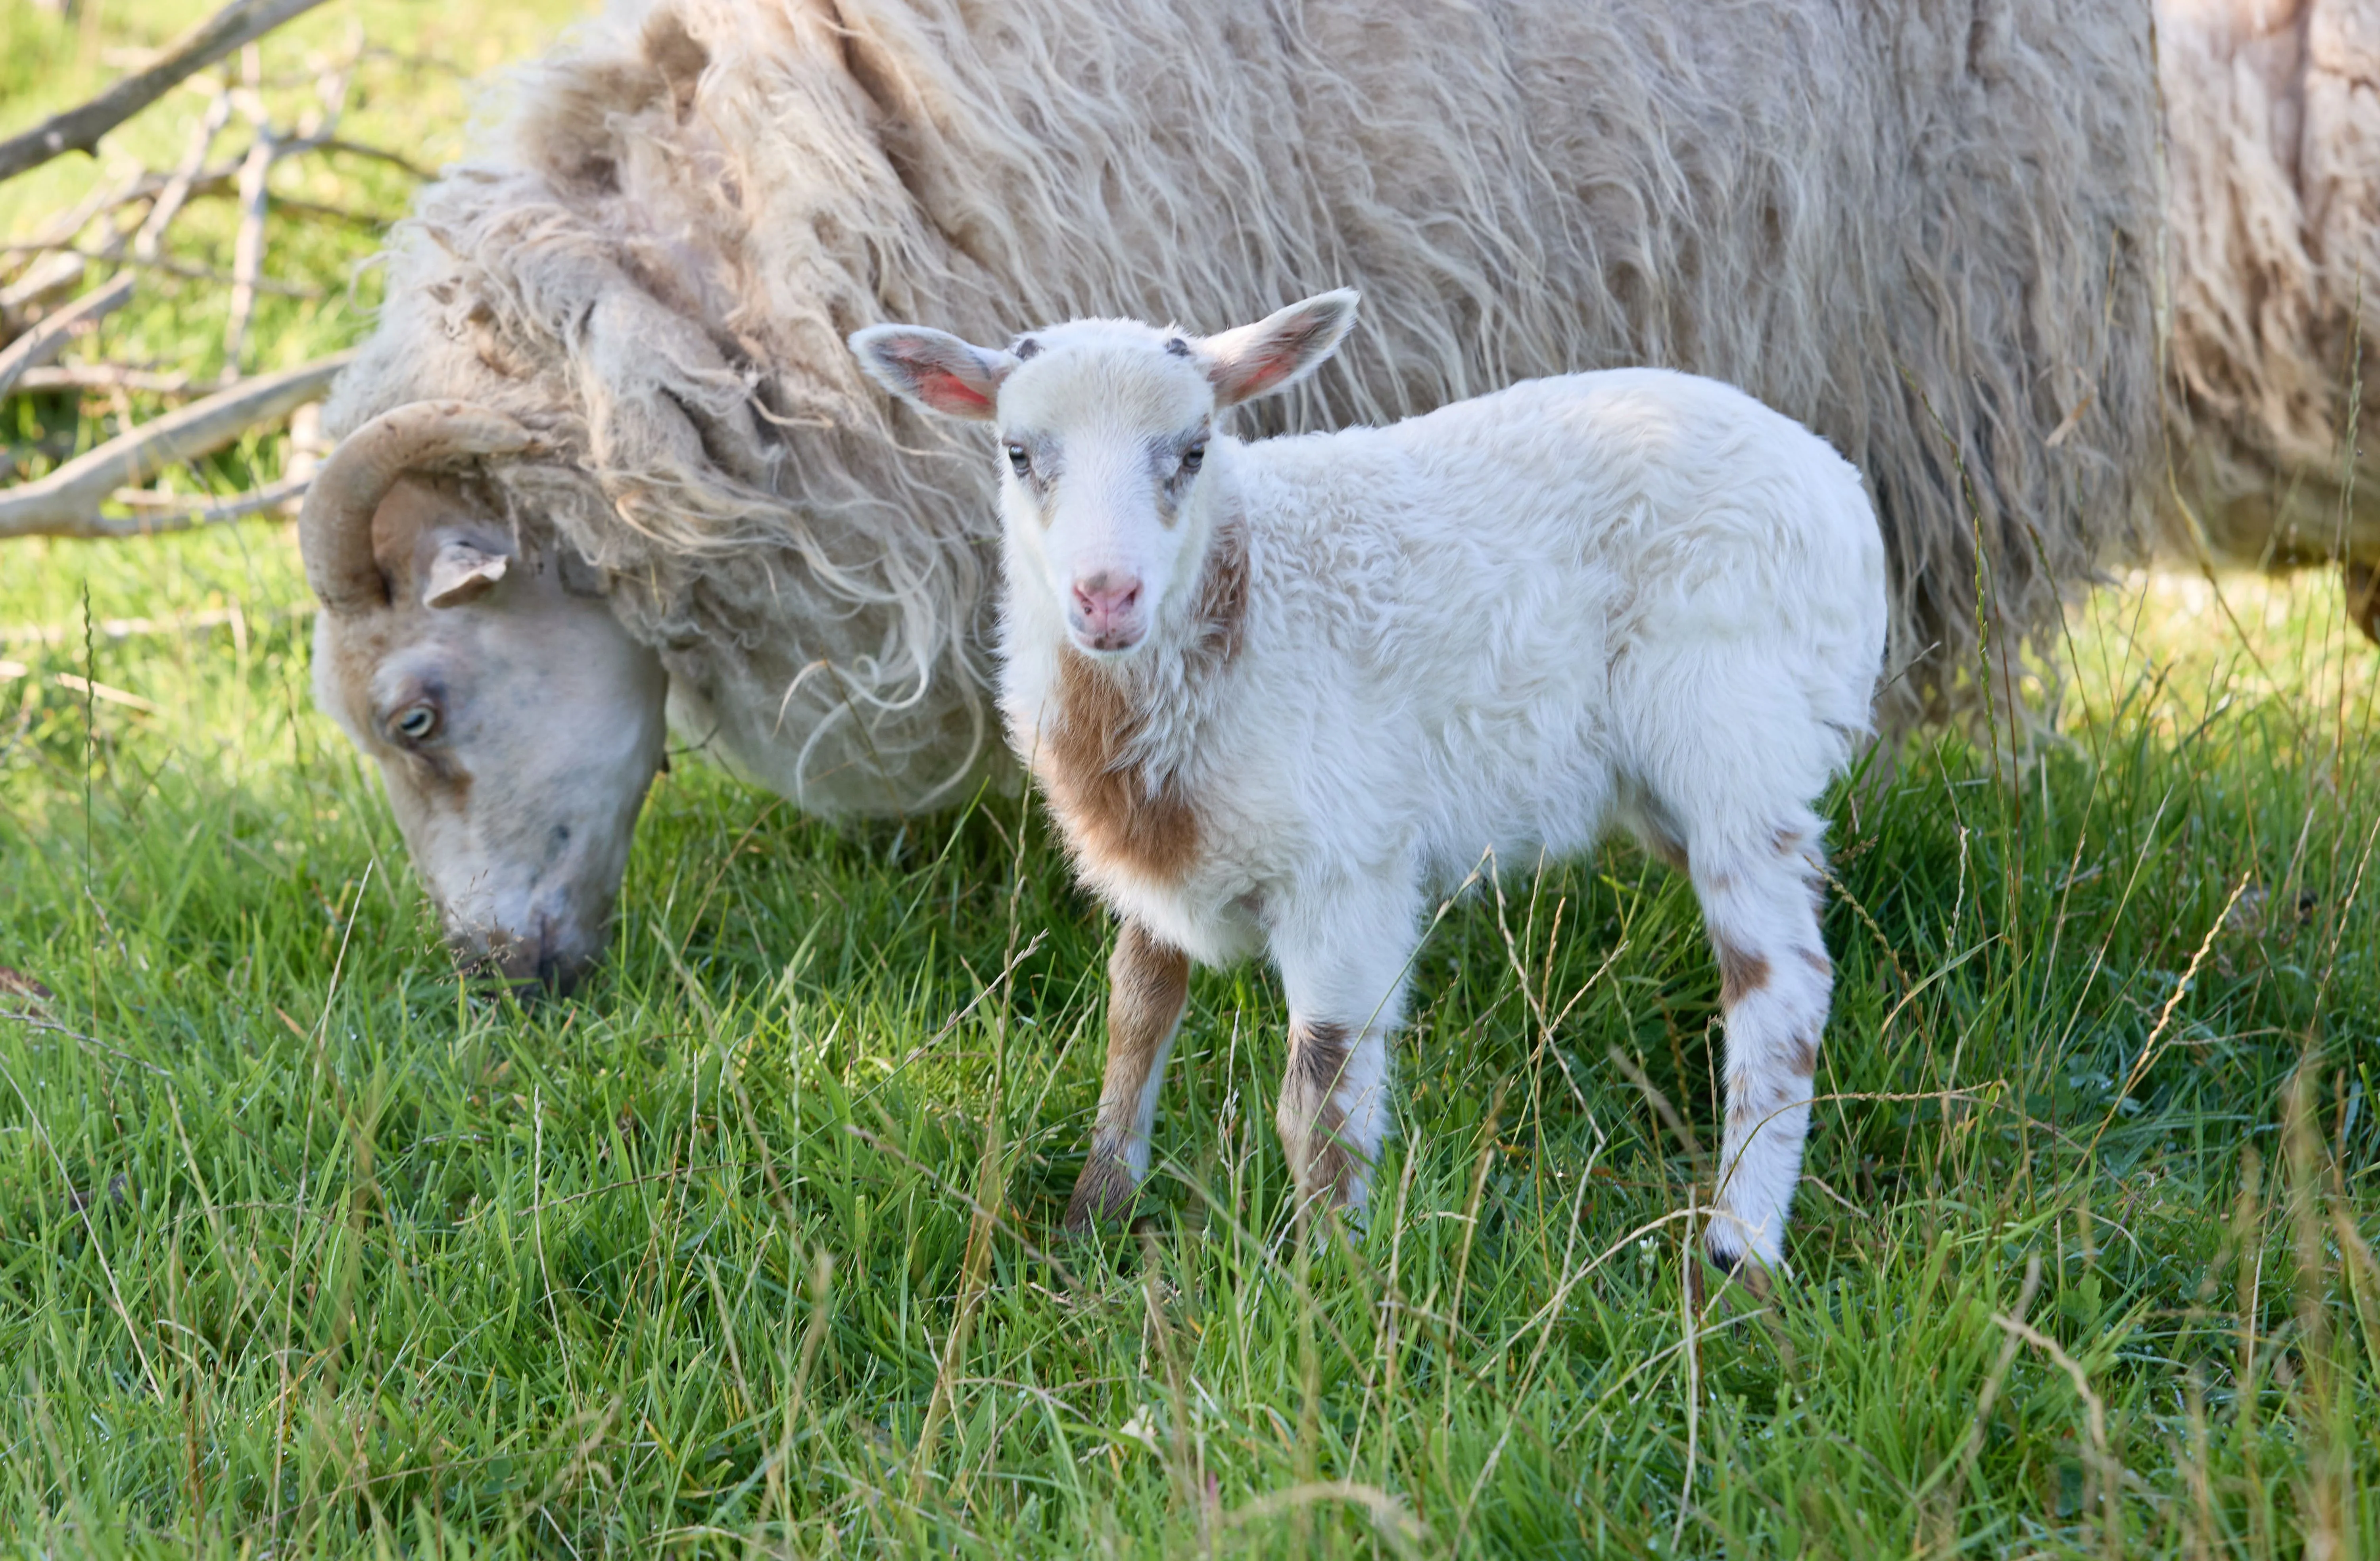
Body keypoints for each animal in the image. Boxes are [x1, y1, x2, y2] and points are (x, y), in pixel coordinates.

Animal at [847, 296, 1885, 1285]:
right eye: (1019, 454)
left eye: (1193, 450)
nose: (1107, 597)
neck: (1239, 604)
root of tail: (1840, 488)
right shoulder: (1159, 852)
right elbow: (1134, 1021)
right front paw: (1091, 1220)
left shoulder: (1346, 867)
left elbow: (1319, 1096)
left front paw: (1327, 1280)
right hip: (1678, 775)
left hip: (1734, 732)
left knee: (1782, 989)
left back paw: (1737, 1251)